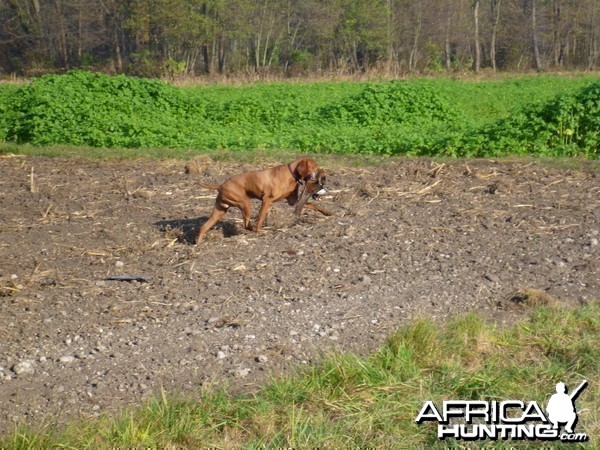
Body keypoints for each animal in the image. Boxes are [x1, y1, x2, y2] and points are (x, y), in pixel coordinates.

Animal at [196, 157, 328, 244]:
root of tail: (220, 186)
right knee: (245, 224)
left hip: (220, 211)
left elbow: (311, 204)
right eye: (315, 166)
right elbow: (260, 217)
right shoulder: (266, 200)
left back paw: (197, 244)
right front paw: (259, 230)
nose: (323, 173)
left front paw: (327, 212)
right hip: (245, 203)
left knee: (203, 227)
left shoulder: (293, 202)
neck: (291, 175)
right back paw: (257, 230)